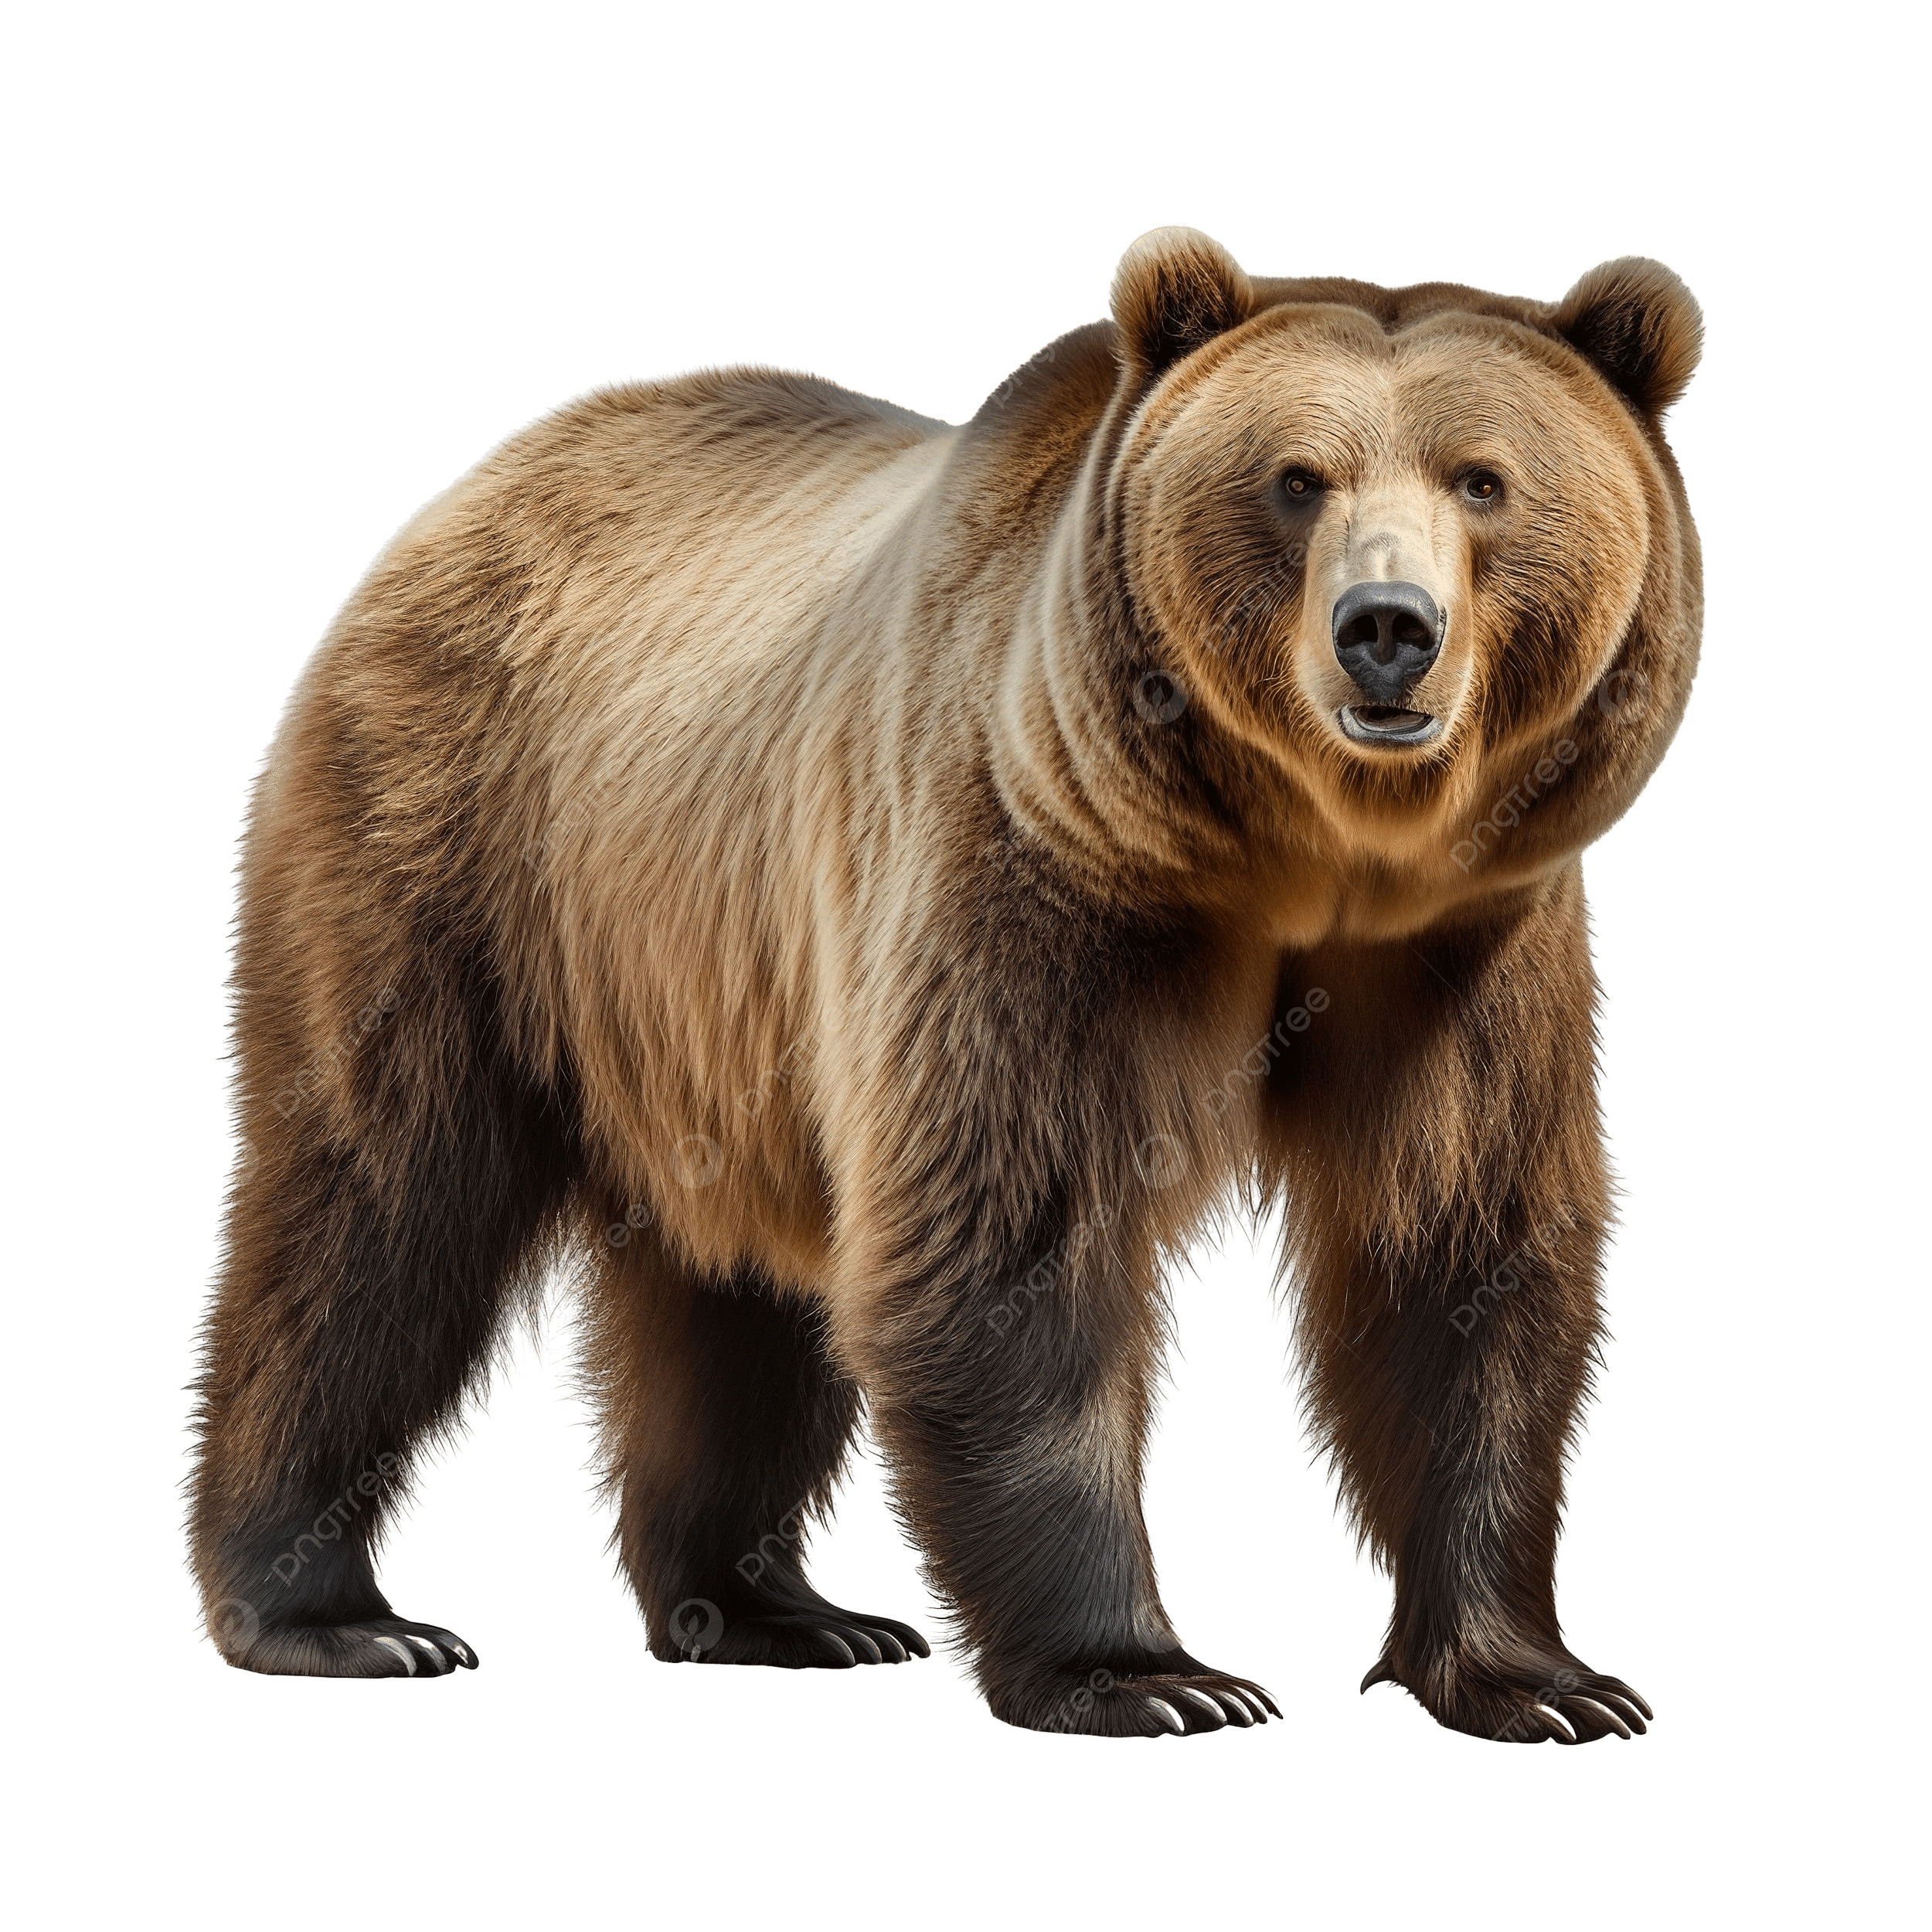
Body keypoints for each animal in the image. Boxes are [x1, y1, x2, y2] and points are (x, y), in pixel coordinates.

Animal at [183, 224, 1702, 1746]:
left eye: (1483, 480)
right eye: (1294, 478)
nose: (1386, 627)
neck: (1303, 854)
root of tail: (459, 503)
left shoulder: (1464, 944)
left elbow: (1459, 1248)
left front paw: (1535, 1678)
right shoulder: (1040, 863)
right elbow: (1011, 1242)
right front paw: (1141, 1673)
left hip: (710, 1002)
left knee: (734, 1292)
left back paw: (770, 1611)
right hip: (453, 841)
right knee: (381, 1201)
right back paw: (331, 1614)